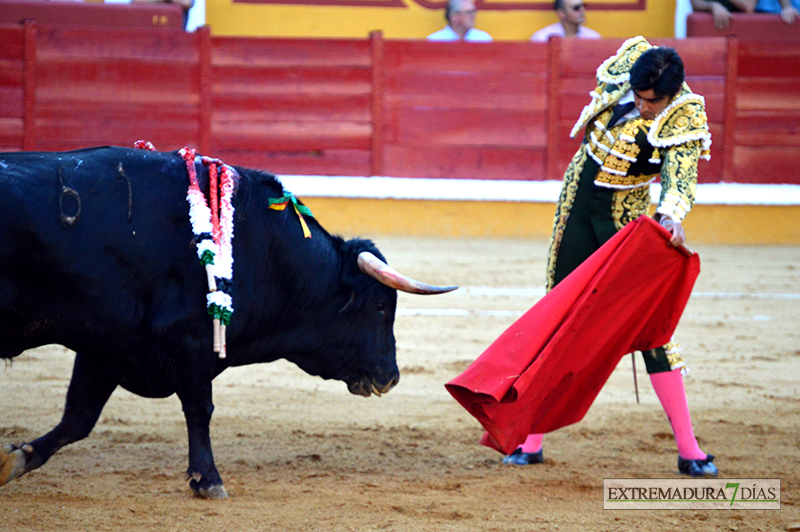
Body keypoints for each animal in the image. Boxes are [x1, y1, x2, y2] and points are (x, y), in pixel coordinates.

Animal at [0, 147, 456, 498]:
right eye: (380, 305)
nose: (391, 377)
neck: (262, 249)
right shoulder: (188, 341)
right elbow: (199, 408)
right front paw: (209, 480)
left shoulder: (106, 346)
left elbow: (78, 417)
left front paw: (16, 459)